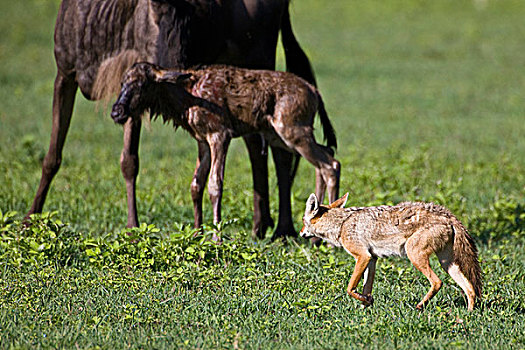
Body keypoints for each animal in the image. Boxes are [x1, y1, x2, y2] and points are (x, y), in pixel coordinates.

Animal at [110, 63, 340, 232]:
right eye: (122, 83)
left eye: (143, 84)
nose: (116, 112)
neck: (186, 100)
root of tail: (315, 92)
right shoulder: (202, 140)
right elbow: (195, 185)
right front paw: (197, 232)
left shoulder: (220, 133)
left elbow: (215, 185)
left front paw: (217, 236)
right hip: (279, 135)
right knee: (326, 156)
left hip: (292, 130)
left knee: (331, 164)